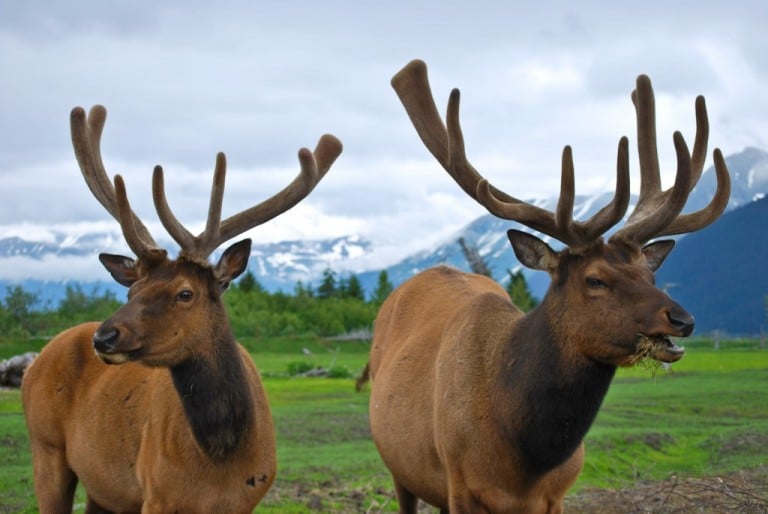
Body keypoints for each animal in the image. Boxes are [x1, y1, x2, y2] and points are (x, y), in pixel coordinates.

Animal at [21, 105, 342, 514]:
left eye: (185, 293)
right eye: (133, 290)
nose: (104, 336)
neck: (220, 464)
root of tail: (34, 363)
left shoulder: (247, 500)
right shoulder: (156, 495)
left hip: (102, 487)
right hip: (46, 449)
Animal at [358, 59, 730, 513]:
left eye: (652, 276)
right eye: (595, 279)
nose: (682, 319)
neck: (524, 456)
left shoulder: (556, 495)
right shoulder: (460, 485)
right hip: (400, 468)